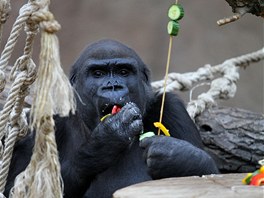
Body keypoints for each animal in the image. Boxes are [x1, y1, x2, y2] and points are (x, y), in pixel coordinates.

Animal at [4, 39, 219, 198]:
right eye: (98, 74)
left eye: (123, 72)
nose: (113, 86)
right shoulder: (44, 119)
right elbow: (17, 187)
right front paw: (104, 142)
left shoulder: (173, 109)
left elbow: (208, 175)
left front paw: (176, 157)